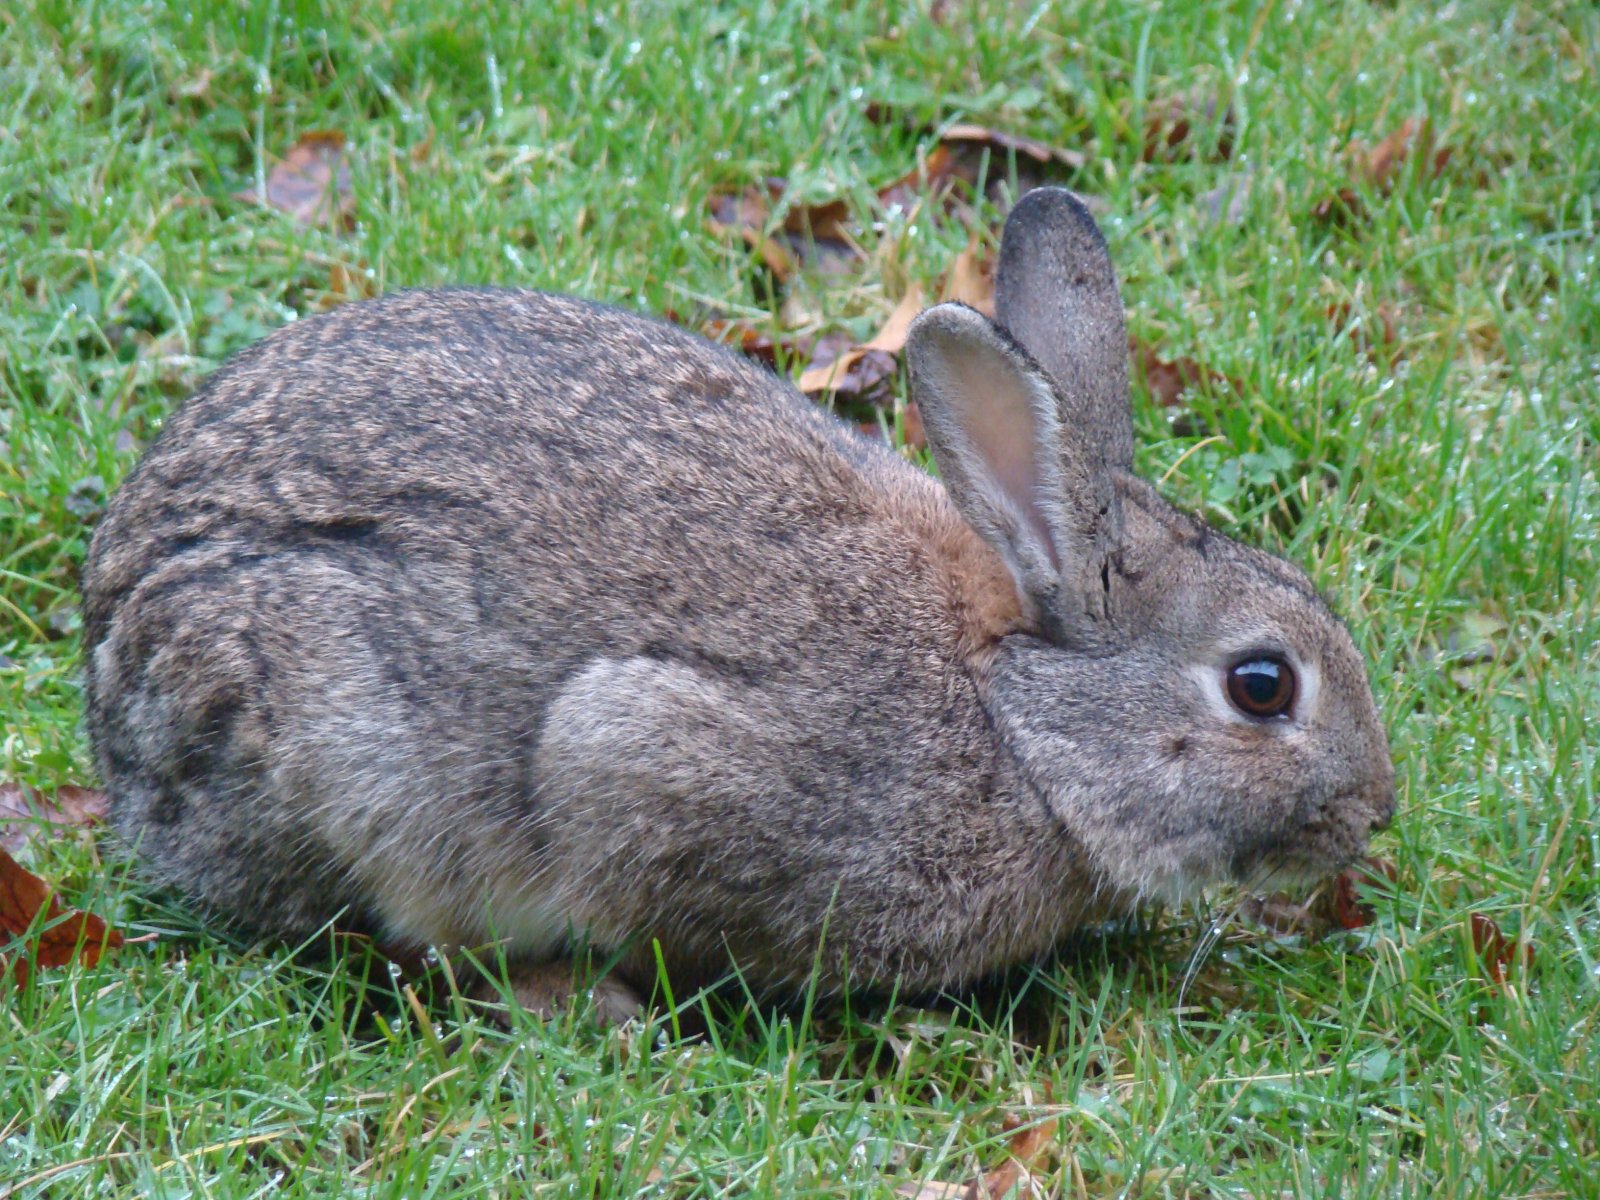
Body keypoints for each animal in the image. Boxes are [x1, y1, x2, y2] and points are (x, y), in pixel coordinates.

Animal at [84, 190, 1388, 1024]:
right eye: (1261, 685)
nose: (1376, 810)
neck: (1017, 715)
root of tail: (114, 716)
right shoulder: (633, 751)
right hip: (343, 759)